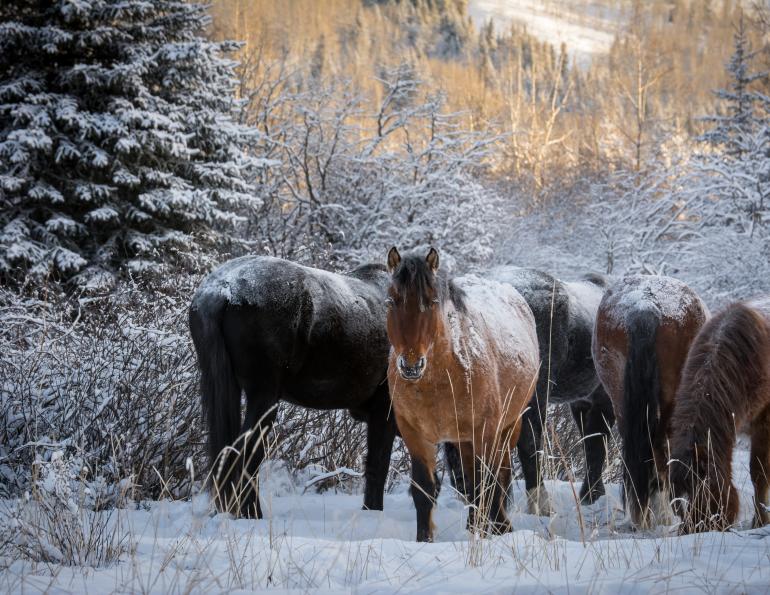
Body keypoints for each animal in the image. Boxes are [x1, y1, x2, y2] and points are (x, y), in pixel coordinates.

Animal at [189, 255, 395, 518]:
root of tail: (221, 291)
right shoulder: (385, 410)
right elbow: (379, 465)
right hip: (264, 396)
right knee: (246, 453)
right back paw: (252, 513)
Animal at [385, 247, 540, 542]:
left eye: (432, 301)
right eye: (392, 300)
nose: (411, 365)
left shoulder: (486, 431)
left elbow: (488, 484)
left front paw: (498, 531)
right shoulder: (415, 434)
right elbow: (425, 490)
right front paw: (424, 540)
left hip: (508, 428)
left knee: (497, 478)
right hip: (465, 439)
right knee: (472, 481)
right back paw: (474, 526)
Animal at [669, 297, 770, 533]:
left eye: (702, 494)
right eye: (677, 505)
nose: (690, 532)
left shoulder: (764, 422)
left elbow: (759, 474)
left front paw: (760, 522)